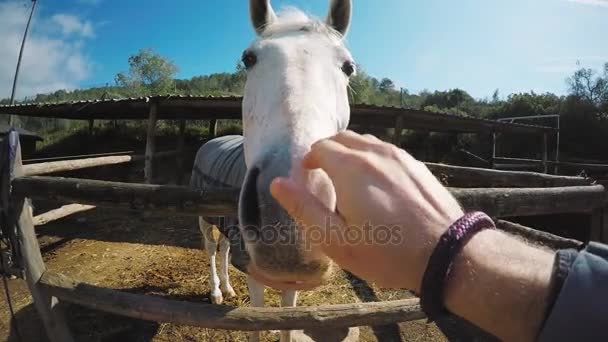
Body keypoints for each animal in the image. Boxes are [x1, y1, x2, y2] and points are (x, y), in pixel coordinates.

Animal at [195, 0, 354, 340]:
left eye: (348, 67)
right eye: (249, 59)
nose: (288, 227)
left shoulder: (290, 278)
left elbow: (287, 318)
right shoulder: (254, 273)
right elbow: (255, 319)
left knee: (224, 249)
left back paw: (228, 288)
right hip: (204, 218)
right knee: (211, 249)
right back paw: (216, 291)